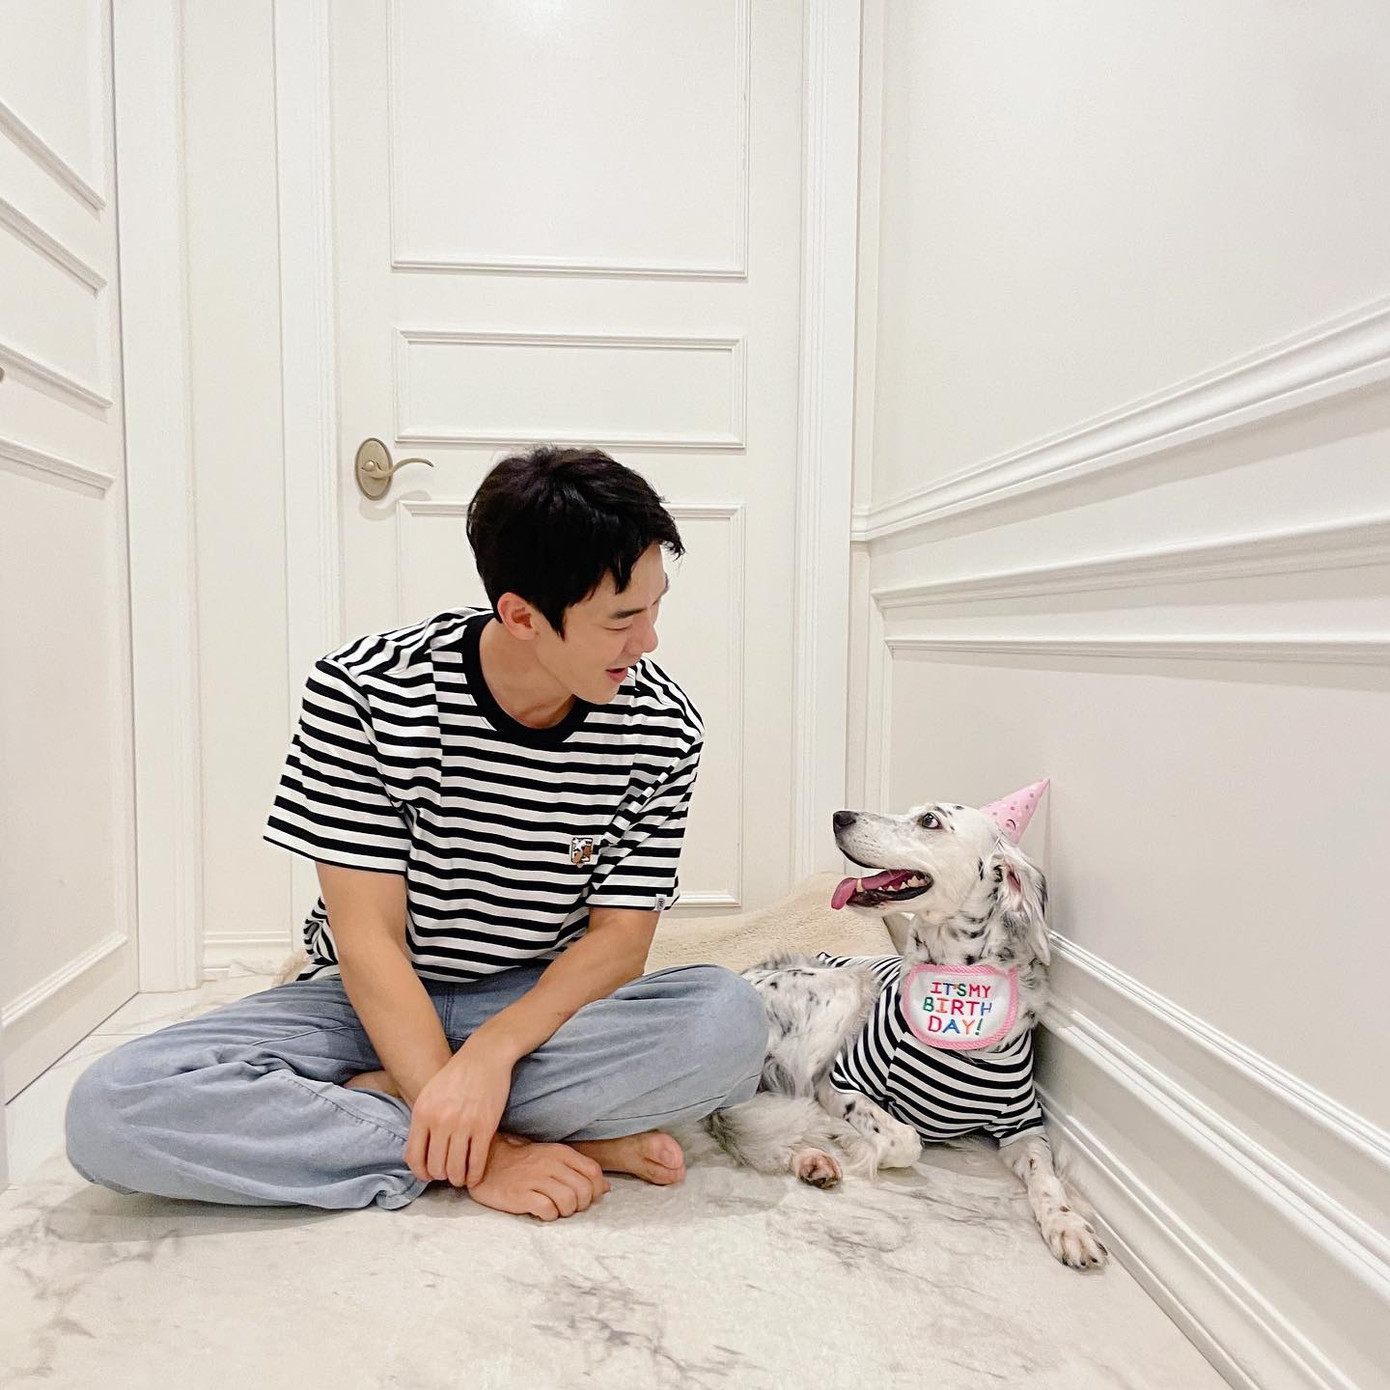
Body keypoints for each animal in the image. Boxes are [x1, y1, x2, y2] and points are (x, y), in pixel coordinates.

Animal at [701, 794, 1107, 1270]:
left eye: (930, 820)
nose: (839, 816)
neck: (957, 1003)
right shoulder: (842, 1082)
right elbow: (902, 1139)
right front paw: (847, 1135)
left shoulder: (1023, 1126)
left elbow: (1046, 1176)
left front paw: (1067, 1224)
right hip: (845, 987)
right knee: (776, 1105)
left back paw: (810, 1160)